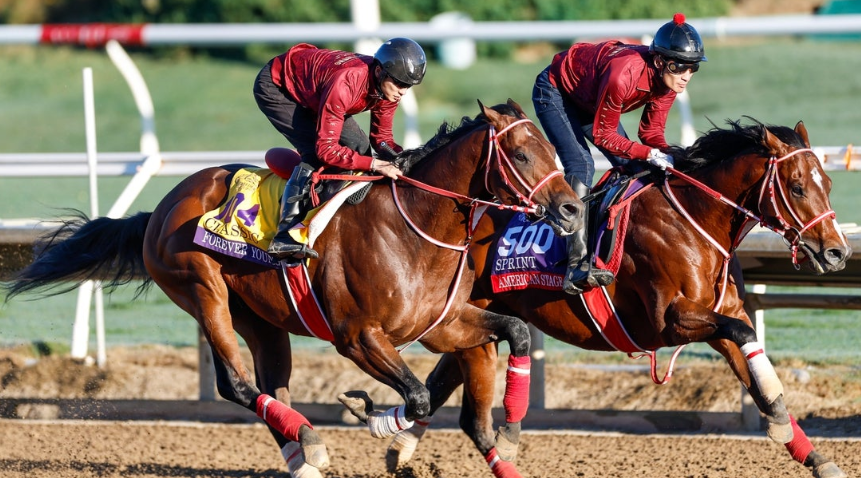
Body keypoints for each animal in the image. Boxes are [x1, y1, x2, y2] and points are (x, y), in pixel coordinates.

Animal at [3, 100, 584, 478]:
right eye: (523, 154)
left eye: (552, 150)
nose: (571, 208)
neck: (415, 226)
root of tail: (162, 207)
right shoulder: (357, 337)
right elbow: (417, 395)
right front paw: (366, 412)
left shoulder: (443, 325)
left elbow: (514, 335)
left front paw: (508, 430)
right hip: (203, 290)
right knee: (236, 384)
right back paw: (309, 442)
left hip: (259, 318)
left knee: (270, 385)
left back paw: (303, 457)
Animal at [386, 119, 852, 478]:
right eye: (797, 187)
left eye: (828, 182)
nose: (837, 252)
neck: (694, 220)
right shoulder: (671, 319)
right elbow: (743, 335)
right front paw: (779, 418)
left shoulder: (720, 317)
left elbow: (750, 360)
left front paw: (812, 452)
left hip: (474, 317)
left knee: (444, 383)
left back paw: (399, 446)